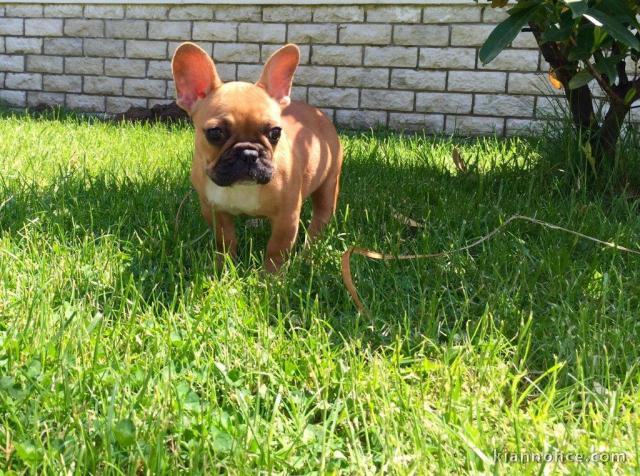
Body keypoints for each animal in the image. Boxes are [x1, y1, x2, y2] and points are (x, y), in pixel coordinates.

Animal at [170, 42, 340, 274]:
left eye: (275, 133)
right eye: (215, 133)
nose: (249, 154)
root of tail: (319, 114)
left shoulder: (287, 217)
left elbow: (276, 249)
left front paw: (271, 277)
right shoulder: (214, 210)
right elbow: (225, 241)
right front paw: (222, 268)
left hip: (328, 185)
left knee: (320, 219)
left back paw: (309, 252)